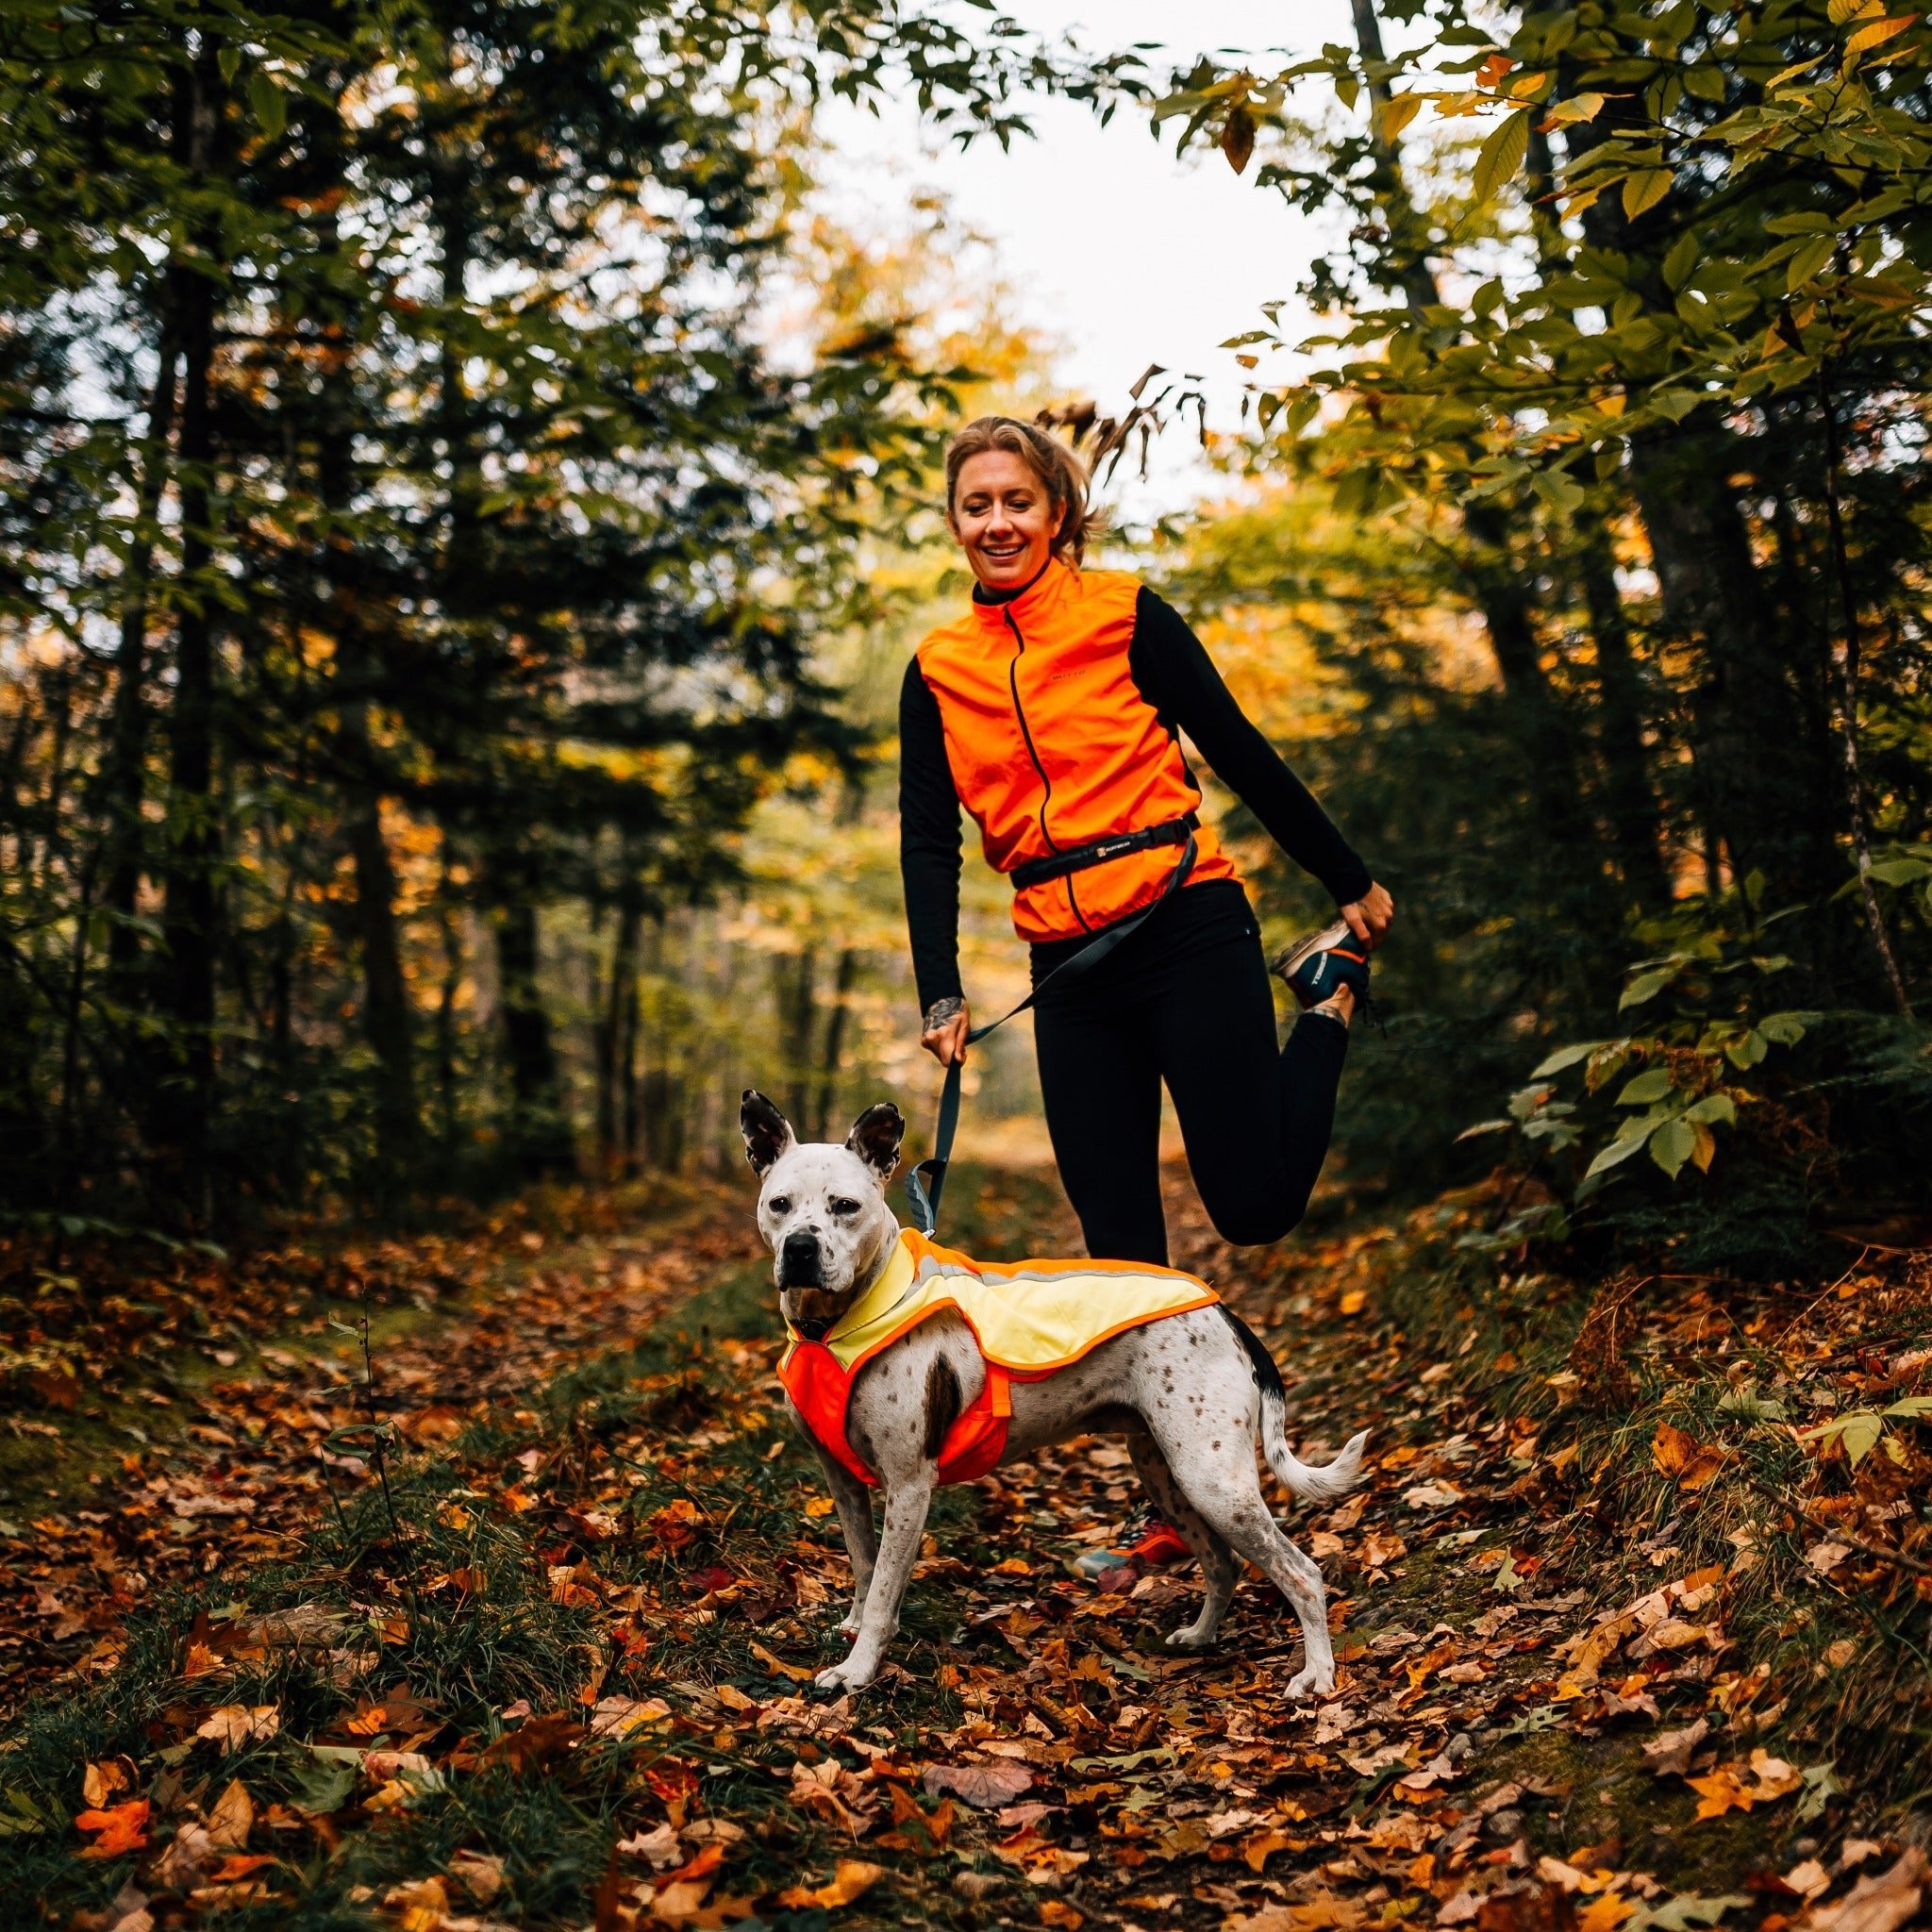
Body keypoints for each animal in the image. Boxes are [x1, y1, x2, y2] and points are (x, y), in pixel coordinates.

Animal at [741, 1097, 1375, 1700]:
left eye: (845, 1206)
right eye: (779, 1204)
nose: (800, 1248)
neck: (834, 1325)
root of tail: (1223, 1311)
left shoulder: (909, 1485)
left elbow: (882, 1594)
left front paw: (858, 1670)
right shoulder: (843, 1481)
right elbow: (863, 1566)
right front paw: (851, 1631)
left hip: (1214, 1481)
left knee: (1301, 1573)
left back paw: (1317, 1674)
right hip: (1168, 1470)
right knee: (1222, 1564)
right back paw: (1200, 1636)